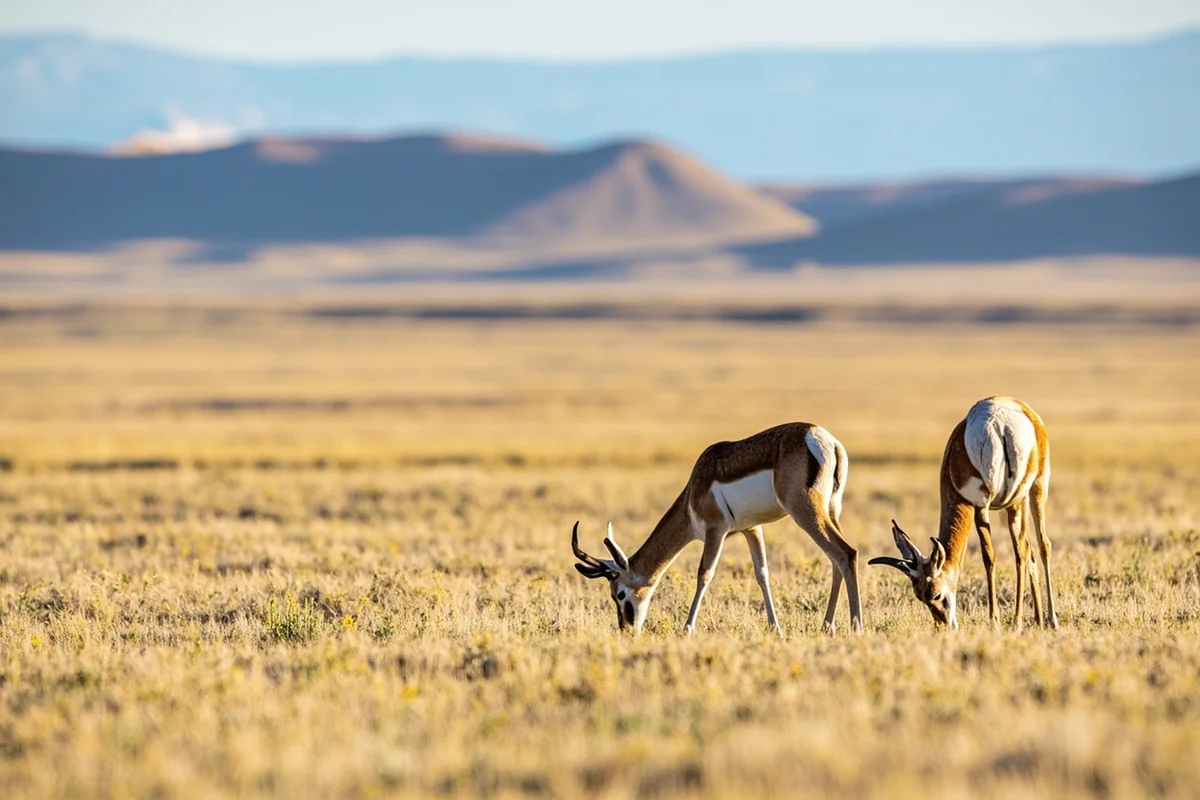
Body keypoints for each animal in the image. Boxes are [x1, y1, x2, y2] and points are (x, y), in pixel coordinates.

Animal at [571, 423, 862, 636]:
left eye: (619, 594)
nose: (627, 629)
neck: (694, 489)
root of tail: (824, 439)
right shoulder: (752, 529)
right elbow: (762, 574)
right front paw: (775, 628)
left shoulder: (716, 530)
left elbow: (704, 574)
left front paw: (687, 629)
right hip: (832, 511)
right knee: (836, 559)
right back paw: (827, 626)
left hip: (805, 512)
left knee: (846, 553)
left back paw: (855, 627)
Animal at [870, 396, 1059, 630]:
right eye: (919, 596)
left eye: (936, 595)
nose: (944, 625)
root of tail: (1003, 425)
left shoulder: (977, 504)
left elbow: (989, 556)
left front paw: (994, 622)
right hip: (1019, 497)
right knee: (1028, 550)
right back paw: (1038, 620)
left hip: (1029, 490)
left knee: (1036, 547)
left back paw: (1032, 621)